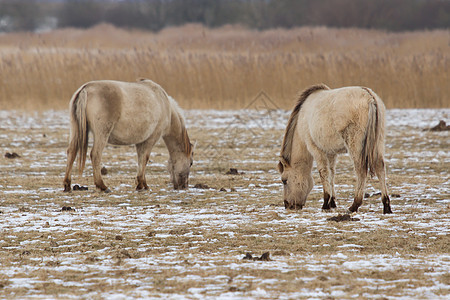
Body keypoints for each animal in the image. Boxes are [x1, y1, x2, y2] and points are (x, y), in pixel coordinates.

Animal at [62, 78, 192, 192]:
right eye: (191, 163)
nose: (183, 186)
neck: (164, 105)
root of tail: (86, 89)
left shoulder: (140, 142)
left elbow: (141, 160)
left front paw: (142, 184)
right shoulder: (151, 138)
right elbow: (145, 158)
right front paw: (142, 184)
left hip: (75, 130)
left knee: (71, 152)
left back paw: (67, 185)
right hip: (102, 133)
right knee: (95, 155)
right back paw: (102, 186)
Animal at [280, 84, 392, 214]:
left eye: (284, 180)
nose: (288, 205)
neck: (302, 118)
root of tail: (370, 97)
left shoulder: (316, 150)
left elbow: (323, 173)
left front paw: (325, 203)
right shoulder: (331, 152)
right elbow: (332, 173)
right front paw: (332, 202)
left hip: (355, 146)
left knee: (360, 171)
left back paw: (355, 205)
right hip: (378, 143)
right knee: (380, 168)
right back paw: (386, 206)